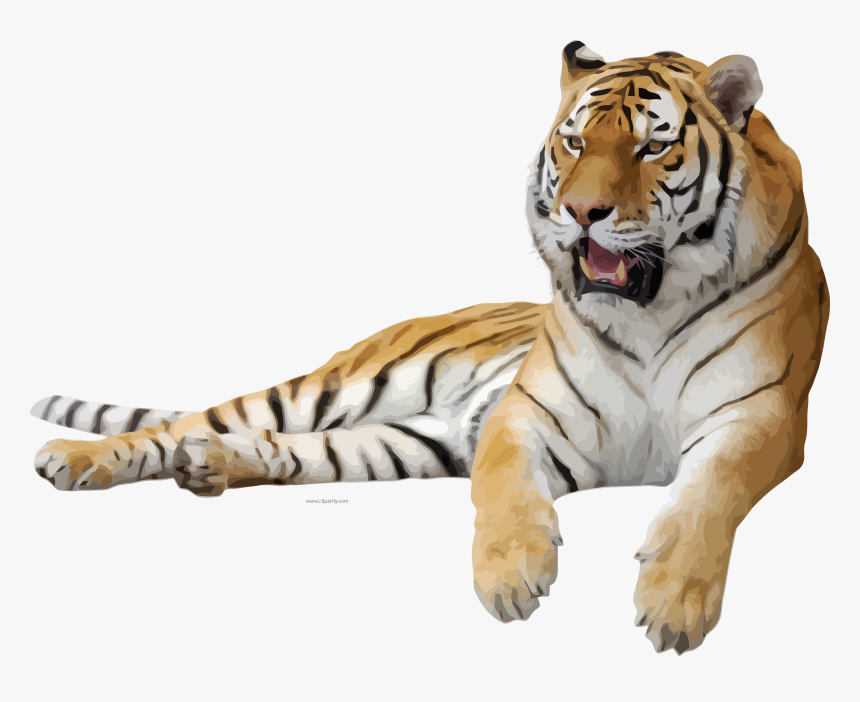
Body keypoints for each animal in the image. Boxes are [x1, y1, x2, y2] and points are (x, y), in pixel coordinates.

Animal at [31, 42, 829, 655]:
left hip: (405, 440)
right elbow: (503, 490)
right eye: (575, 142)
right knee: (192, 422)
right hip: (335, 387)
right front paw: (510, 576)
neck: (649, 312)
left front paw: (673, 603)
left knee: (281, 450)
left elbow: (706, 498)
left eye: (653, 145)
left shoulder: (759, 417)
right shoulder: (523, 414)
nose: (580, 212)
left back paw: (209, 468)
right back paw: (73, 459)